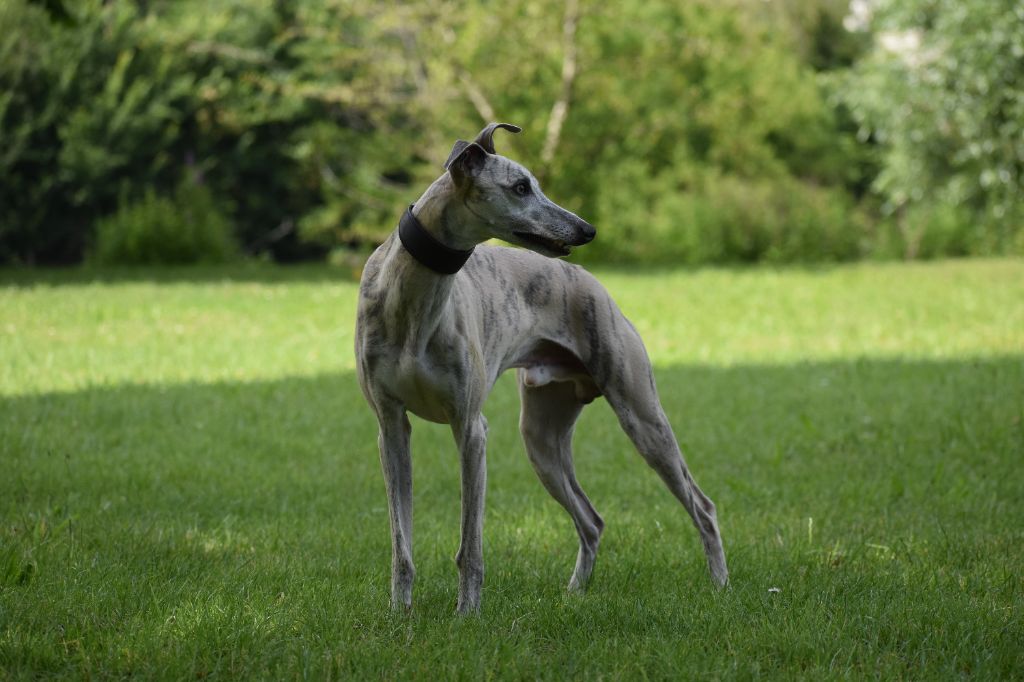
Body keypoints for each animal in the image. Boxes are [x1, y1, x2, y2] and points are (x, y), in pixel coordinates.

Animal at [356, 122, 724, 610]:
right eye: (520, 187)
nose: (587, 229)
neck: (413, 298)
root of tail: (596, 284)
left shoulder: (470, 428)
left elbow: (470, 546)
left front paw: (467, 613)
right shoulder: (391, 428)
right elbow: (402, 543)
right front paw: (400, 613)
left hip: (643, 417)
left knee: (703, 507)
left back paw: (721, 586)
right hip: (541, 437)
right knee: (592, 520)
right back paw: (575, 593)